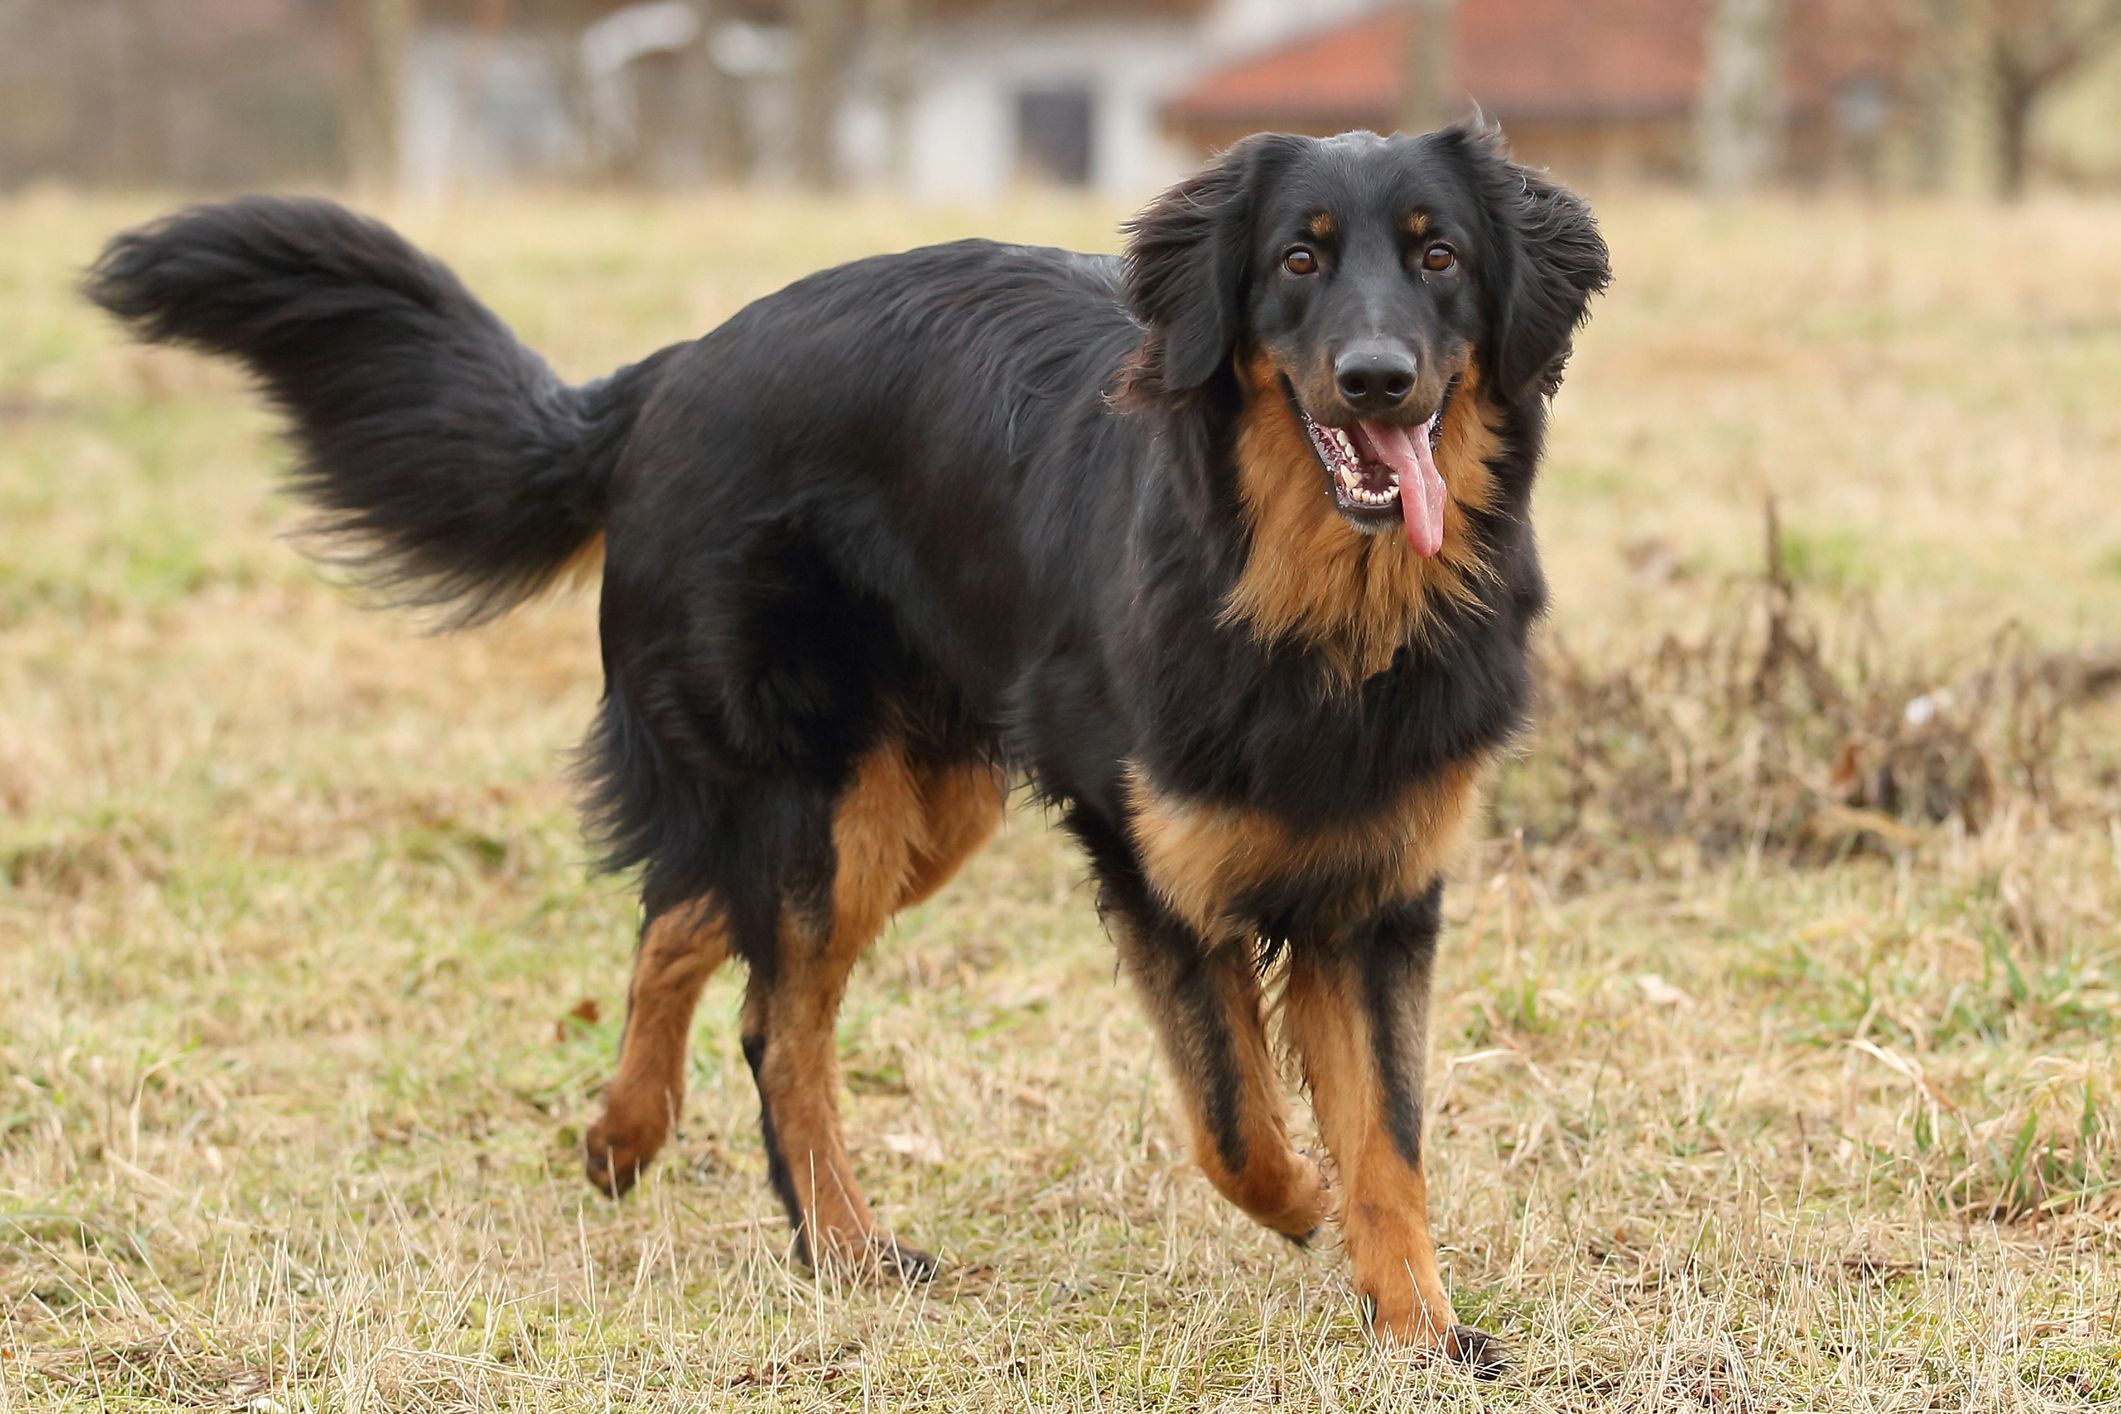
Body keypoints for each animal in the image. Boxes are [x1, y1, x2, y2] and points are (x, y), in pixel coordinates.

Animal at [82, 121, 1603, 1373]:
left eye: (1441, 258)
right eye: (1297, 259)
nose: (1377, 379)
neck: (1319, 616)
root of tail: (668, 374)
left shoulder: (1382, 891)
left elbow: (1388, 1139)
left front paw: (1422, 1327)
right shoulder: (1154, 865)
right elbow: (1237, 1117)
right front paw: (1301, 1206)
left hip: (912, 804)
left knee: (686, 910)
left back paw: (625, 1130)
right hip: (827, 798)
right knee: (774, 1014)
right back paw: (843, 1244)